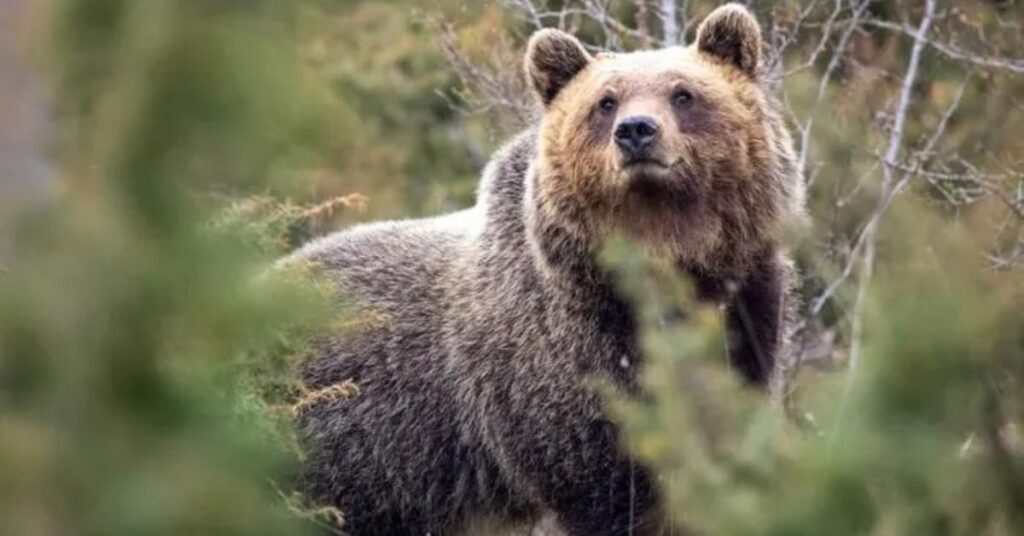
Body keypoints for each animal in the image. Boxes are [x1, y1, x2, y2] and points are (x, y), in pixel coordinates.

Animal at [288, 4, 803, 535]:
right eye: (605, 102)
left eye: (684, 94)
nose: (636, 131)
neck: (666, 265)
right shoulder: (559, 355)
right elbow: (604, 479)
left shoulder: (745, 307)